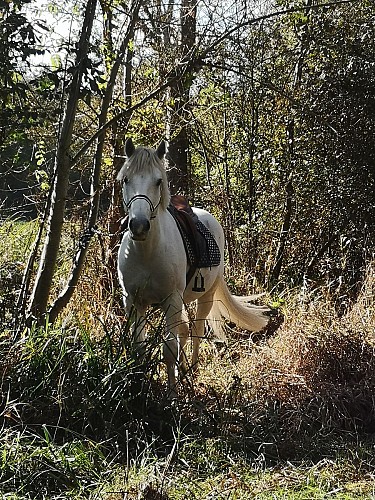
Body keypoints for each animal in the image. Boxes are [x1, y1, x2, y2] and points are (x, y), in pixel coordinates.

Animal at [117, 138, 270, 394]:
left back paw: (192, 369)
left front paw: (171, 394)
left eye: (158, 181)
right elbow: (139, 346)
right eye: (126, 179)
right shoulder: (133, 301)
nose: (138, 225)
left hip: (205, 296)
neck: (147, 253)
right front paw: (140, 385)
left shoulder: (171, 300)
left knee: (196, 330)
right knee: (185, 332)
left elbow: (169, 349)